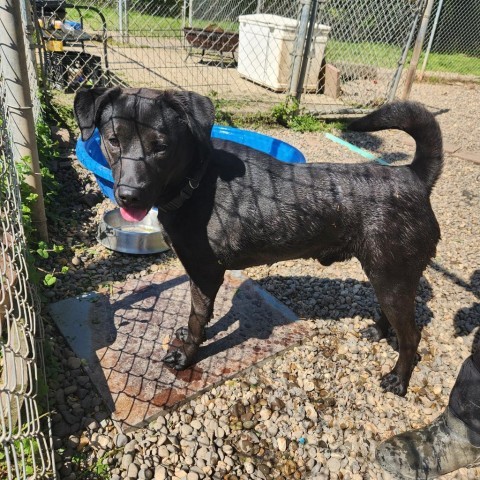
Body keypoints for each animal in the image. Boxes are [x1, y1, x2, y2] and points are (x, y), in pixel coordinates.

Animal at [74, 88, 442, 396]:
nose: (129, 196)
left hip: (392, 275)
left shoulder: (206, 272)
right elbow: (202, 317)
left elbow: (197, 318)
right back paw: (378, 332)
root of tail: (413, 176)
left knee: (412, 335)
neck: (197, 180)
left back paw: (399, 379)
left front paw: (186, 356)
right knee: (391, 315)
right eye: (113, 140)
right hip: (386, 275)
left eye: (160, 146)